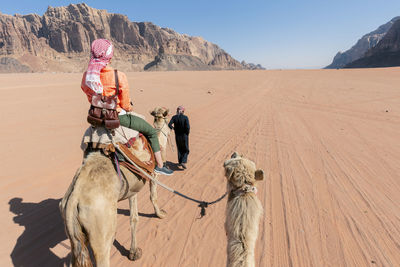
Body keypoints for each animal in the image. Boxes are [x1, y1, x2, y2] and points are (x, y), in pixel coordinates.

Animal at [58, 126, 166, 266]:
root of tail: (73, 198)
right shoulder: (153, 174)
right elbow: (153, 196)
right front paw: (160, 214)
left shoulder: (132, 189)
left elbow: (134, 218)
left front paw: (133, 252)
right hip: (102, 227)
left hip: (73, 229)